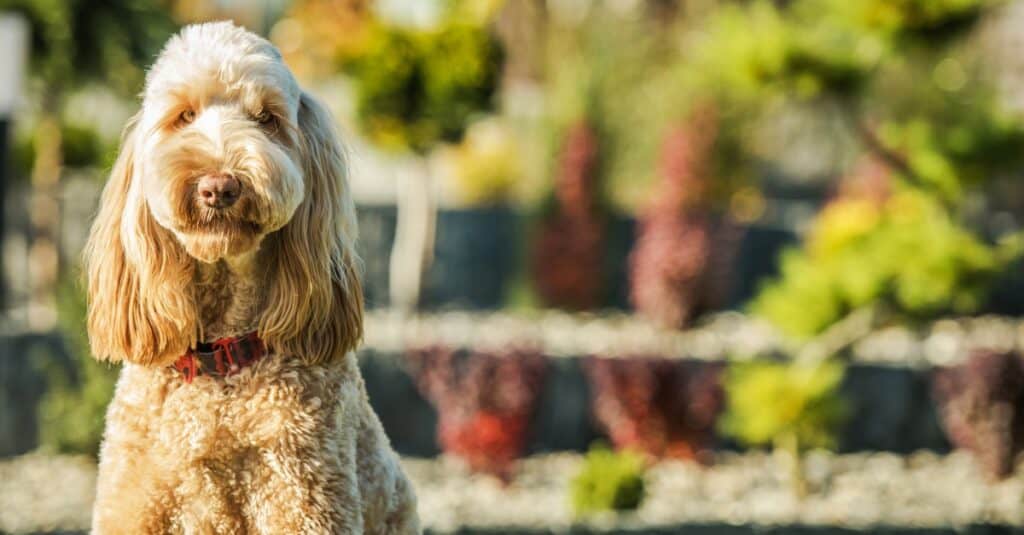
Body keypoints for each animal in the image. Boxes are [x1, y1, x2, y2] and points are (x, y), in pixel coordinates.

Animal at [82, 21, 419, 532]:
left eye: (267, 119)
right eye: (184, 116)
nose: (219, 185)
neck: (220, 362)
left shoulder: (306, 499)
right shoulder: (133, 502)